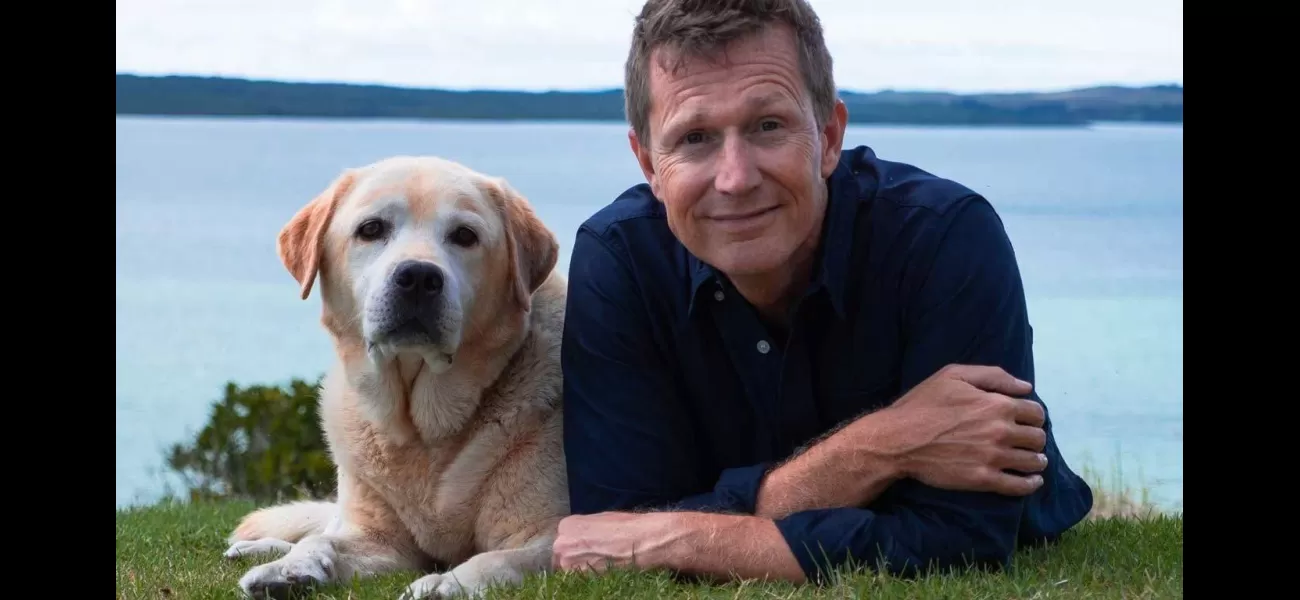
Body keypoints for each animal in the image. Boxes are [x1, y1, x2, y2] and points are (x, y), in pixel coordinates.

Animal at [221, 156, 569, 600]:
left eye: (465, 235)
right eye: (371, 229)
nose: (419, 276)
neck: (422, 429)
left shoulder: (550, 534)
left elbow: (497, 561)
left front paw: (446, 583)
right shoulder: (380, 541)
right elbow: (322, 541)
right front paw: (289, 569)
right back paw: (259, 549)